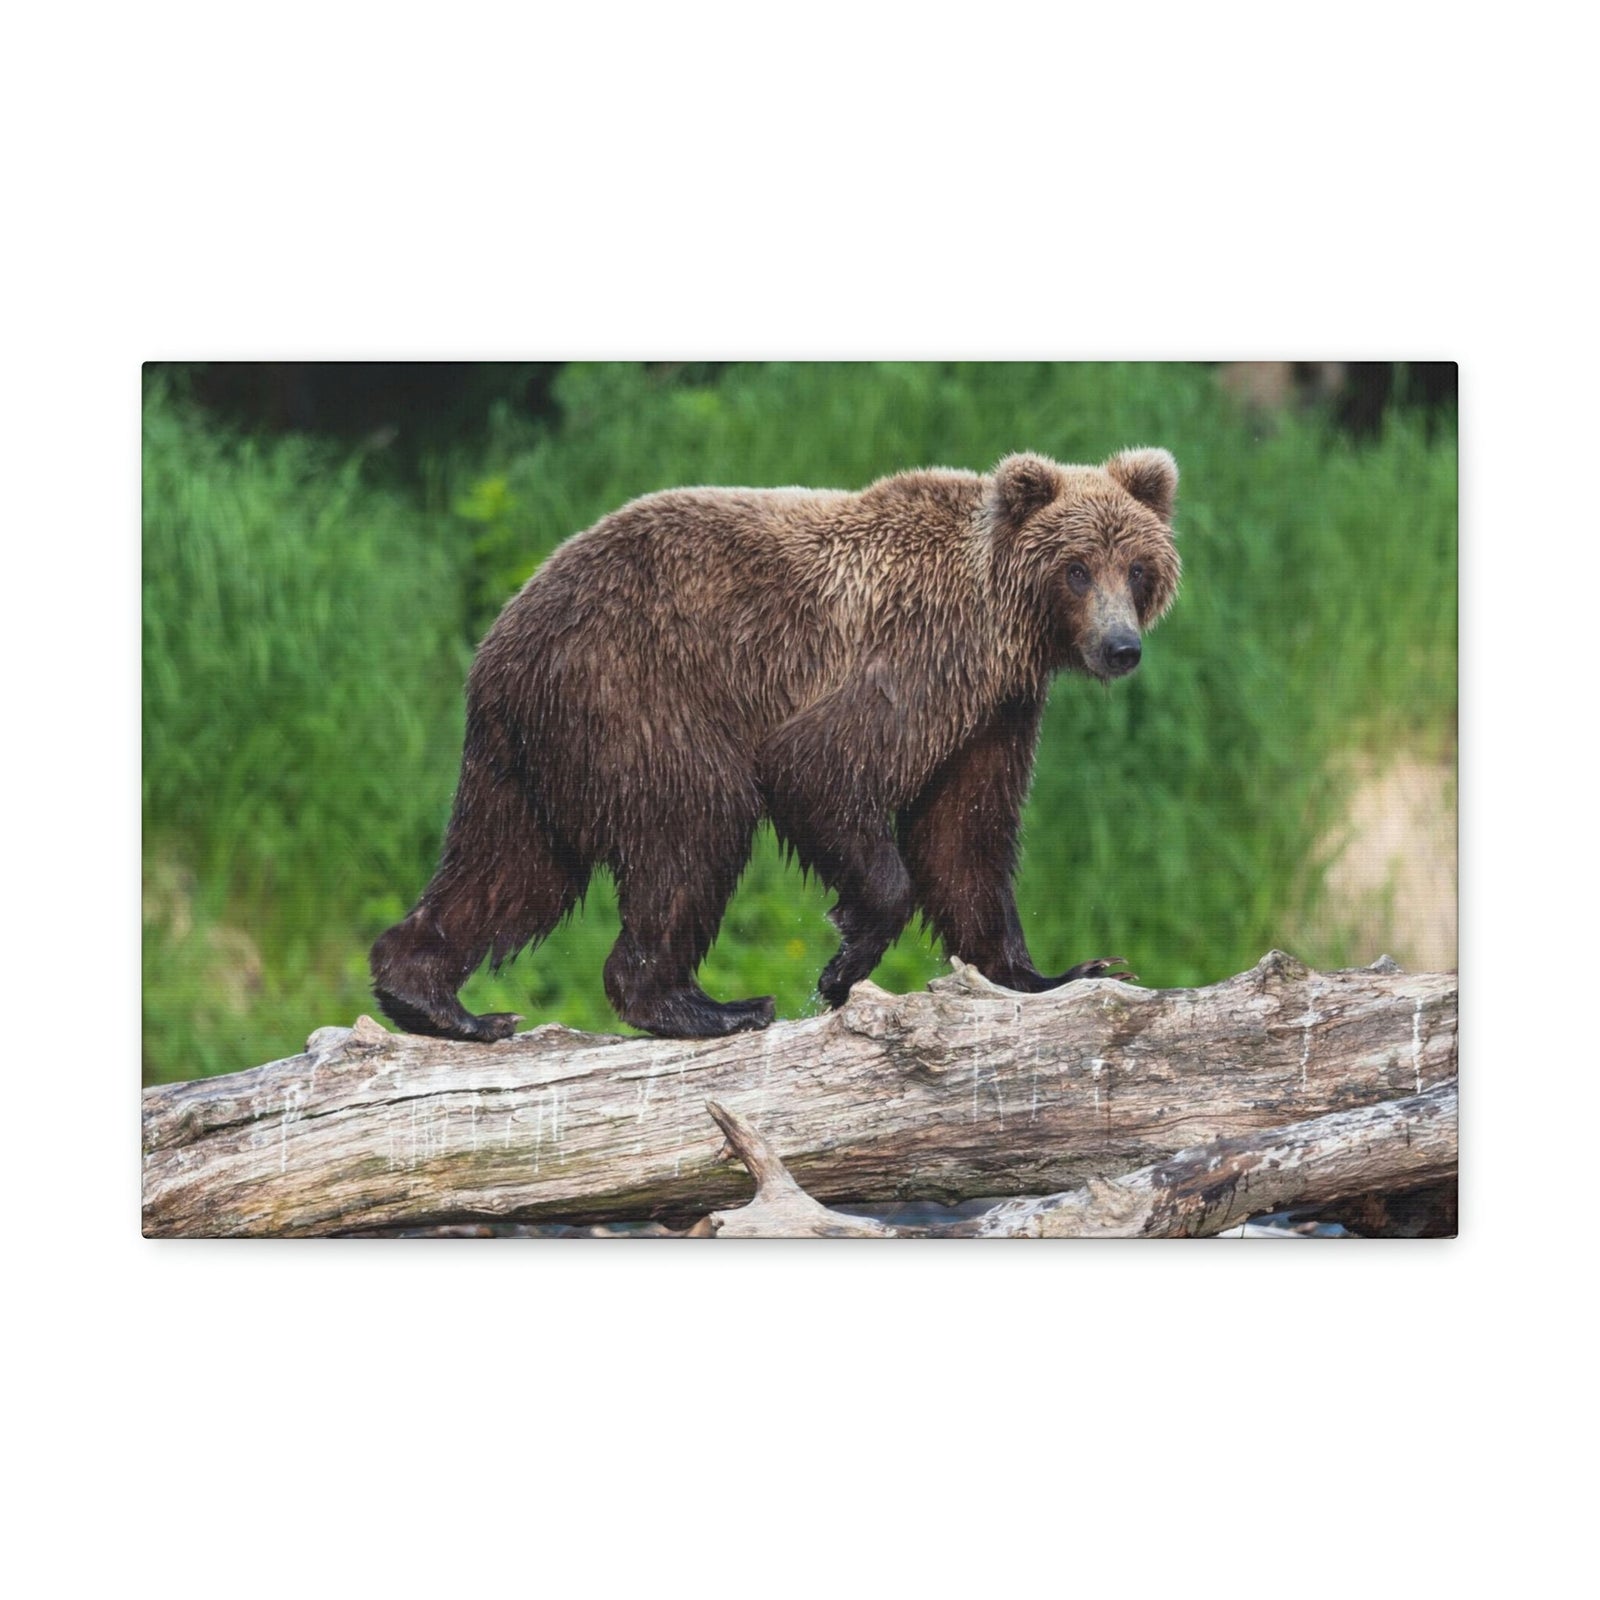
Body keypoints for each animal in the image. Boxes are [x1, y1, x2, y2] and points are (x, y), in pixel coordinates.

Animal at [370, 448, 1181, 1042]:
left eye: (1138, 567)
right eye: (1076, 568)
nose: (1121, 647)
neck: (1002, 630)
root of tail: (497, 643)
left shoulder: (994, 714)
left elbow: (964, 840)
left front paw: (1064, 971)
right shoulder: (912, 661)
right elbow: (820, 768)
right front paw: (842, 965)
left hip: (534, 758)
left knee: (511, 870)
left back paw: (437, 1000)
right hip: (636, 694)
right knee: (694, 828)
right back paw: (708, 1007)